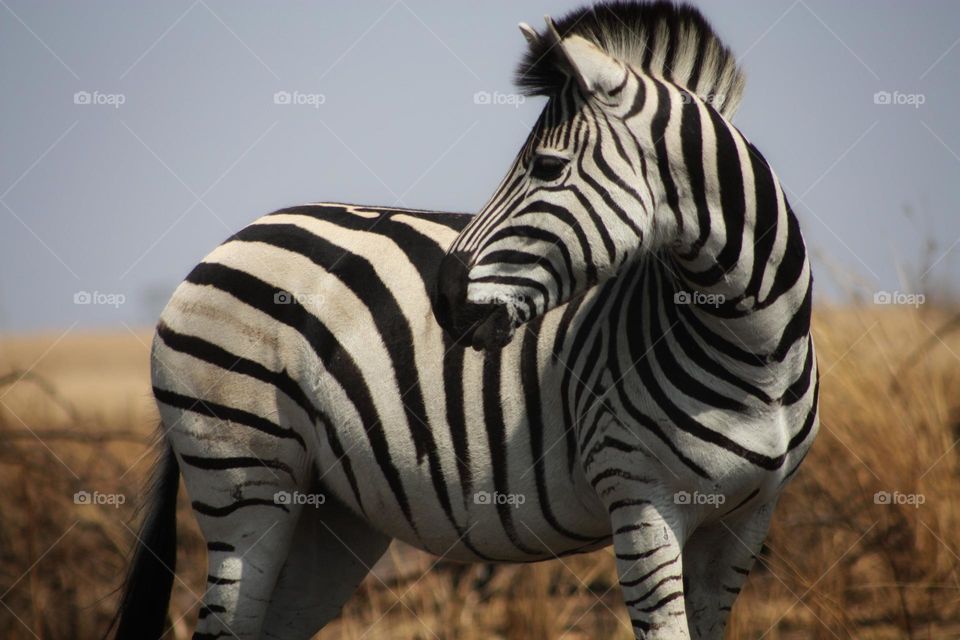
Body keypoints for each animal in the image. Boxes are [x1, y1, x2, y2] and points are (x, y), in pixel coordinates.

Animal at [111, 2, 819, 639]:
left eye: (548, 167)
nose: (444, 299)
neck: (754, 349)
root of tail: (239, 234)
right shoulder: (640, 498)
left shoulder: (748, 520)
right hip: (245, 476)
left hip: (330, 510)